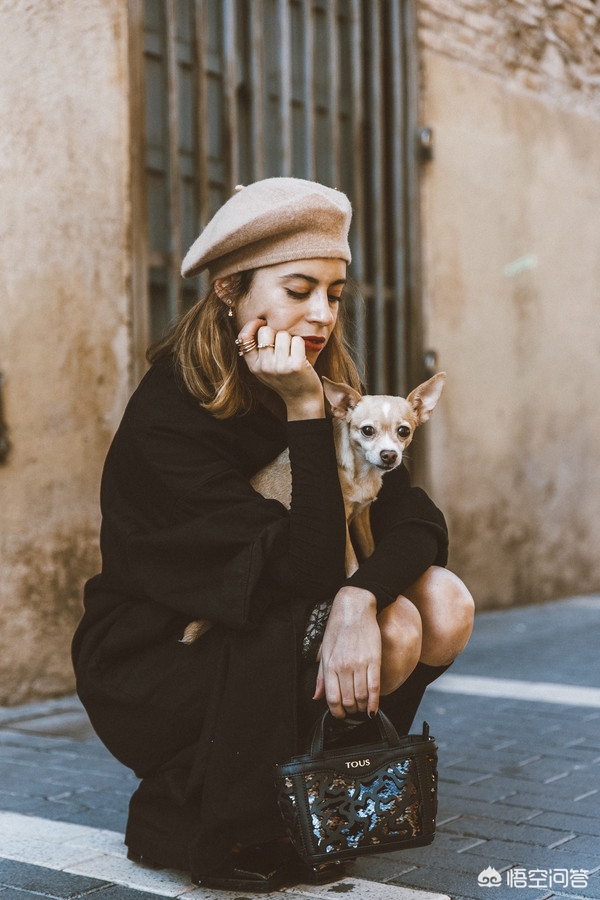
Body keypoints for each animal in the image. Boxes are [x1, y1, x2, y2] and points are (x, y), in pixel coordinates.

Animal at [182, 372, 446, 648]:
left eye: (404, 431)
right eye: (367, 431)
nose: (389, 455)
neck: (361, 472)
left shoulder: (362, 516)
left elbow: (370, 549)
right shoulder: (341, 525)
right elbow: (353, 562)